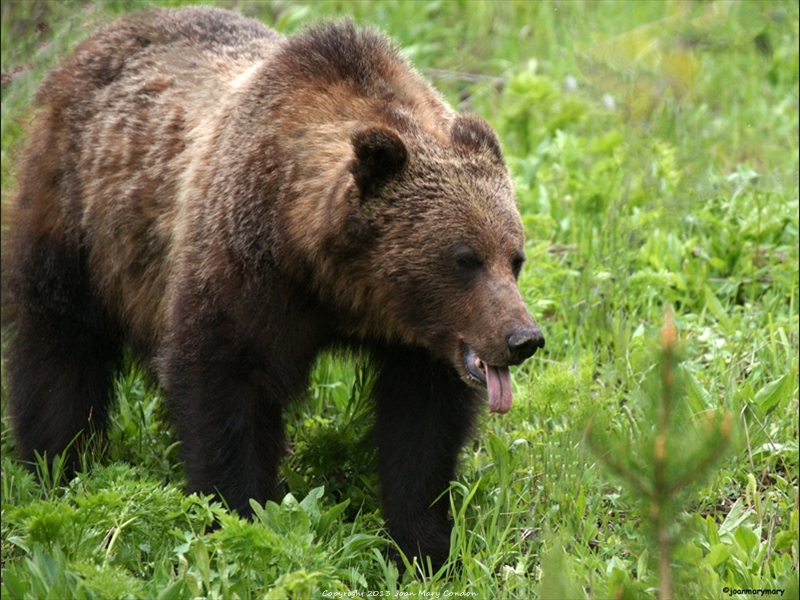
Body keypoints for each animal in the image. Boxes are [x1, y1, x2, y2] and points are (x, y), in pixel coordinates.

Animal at [3, 5, 544, 572]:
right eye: (464, 259)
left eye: (514, 258)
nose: (522, 338)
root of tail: (99, 37)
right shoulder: (245, 268)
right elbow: (224, 388)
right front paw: (238, 518)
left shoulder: (420, 346)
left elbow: (421, 430)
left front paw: (425, 548)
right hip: (75, 212)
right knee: (58, 344)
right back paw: (58, 464)